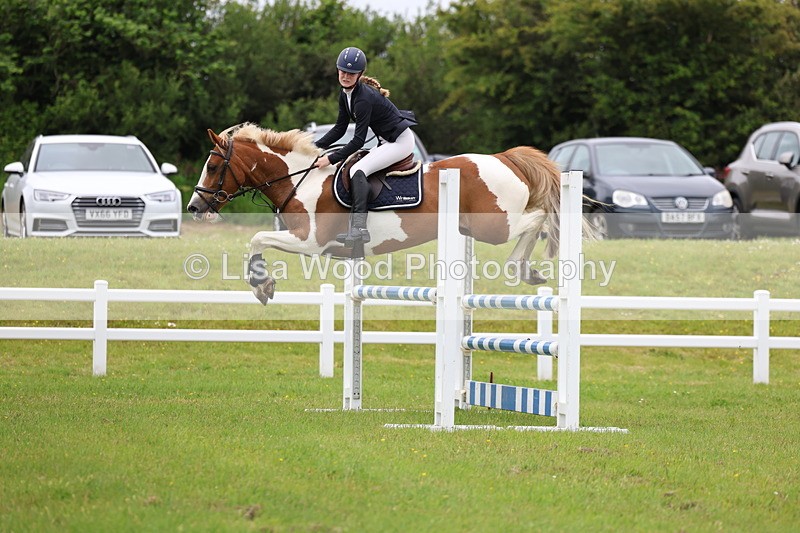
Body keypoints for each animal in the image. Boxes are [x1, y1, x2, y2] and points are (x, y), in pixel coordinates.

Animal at [187, 123, 566, 305]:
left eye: (213, 166)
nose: (194, 207)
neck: (300, 178)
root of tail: (504, 158)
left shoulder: (310, 241)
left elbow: (256, 238)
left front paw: (261, 285)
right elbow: (258, 240)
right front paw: (263, 285)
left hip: (494, 225)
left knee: (537, 220)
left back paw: (522, 267)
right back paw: (527, 270)